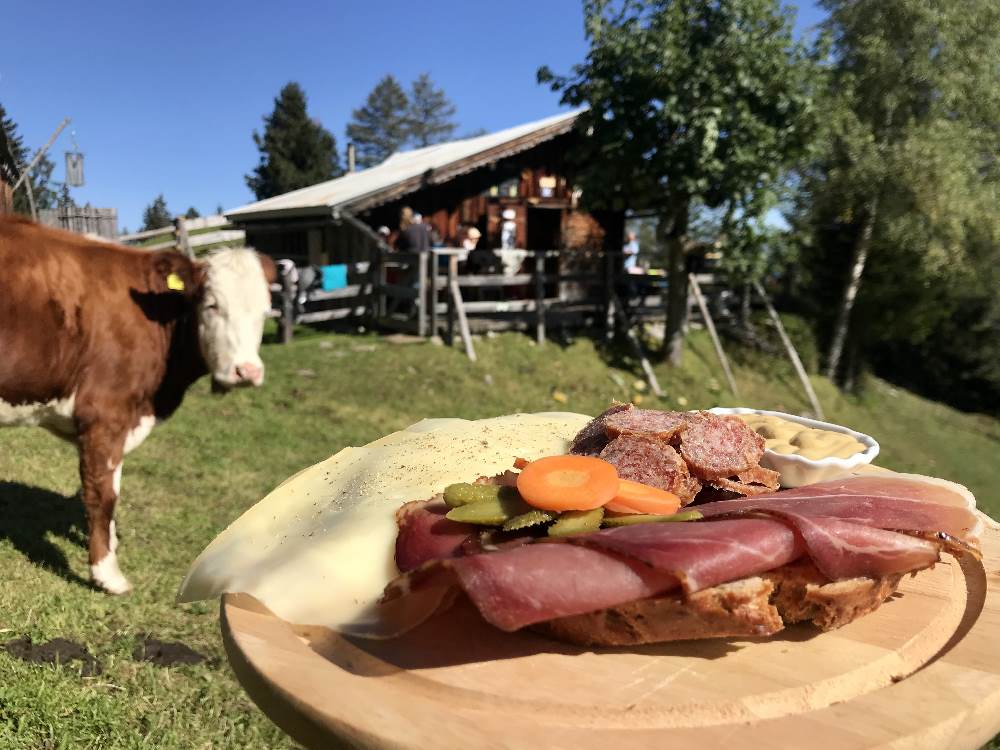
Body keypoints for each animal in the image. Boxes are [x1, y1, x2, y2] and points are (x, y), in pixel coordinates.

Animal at [0, 216, 276, 592]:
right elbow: (102, 495)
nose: (247, 371)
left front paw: (109, 544)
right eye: (212, 305)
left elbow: (112, 487)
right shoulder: (104, 412)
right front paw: (107, 574)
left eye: (265, 312)